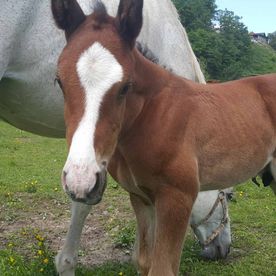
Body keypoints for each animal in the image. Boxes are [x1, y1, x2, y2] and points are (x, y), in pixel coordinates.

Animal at [51, 0, 276, 274]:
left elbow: (162, 268)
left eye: (126, 86)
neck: (154, 115)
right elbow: (145, 261)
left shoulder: (177, 197)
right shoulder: (142, 198)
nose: (80, 180)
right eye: (59, 81)